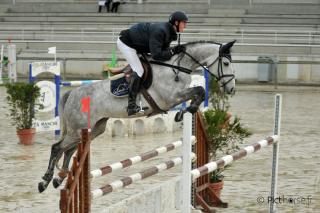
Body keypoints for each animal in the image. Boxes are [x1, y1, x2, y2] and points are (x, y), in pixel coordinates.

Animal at [38, 40, 238, 193]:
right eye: (226, 63)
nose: (231, 89)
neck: (177, 68)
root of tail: (72, 93)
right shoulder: (170, 98)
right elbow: (200, 90)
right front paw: (185, 111)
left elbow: (199, 91)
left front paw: (185, 111)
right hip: (79, 128)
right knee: (57, 147)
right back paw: (45, 181)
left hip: (92, 129)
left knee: (69, 149)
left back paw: (59, 178)